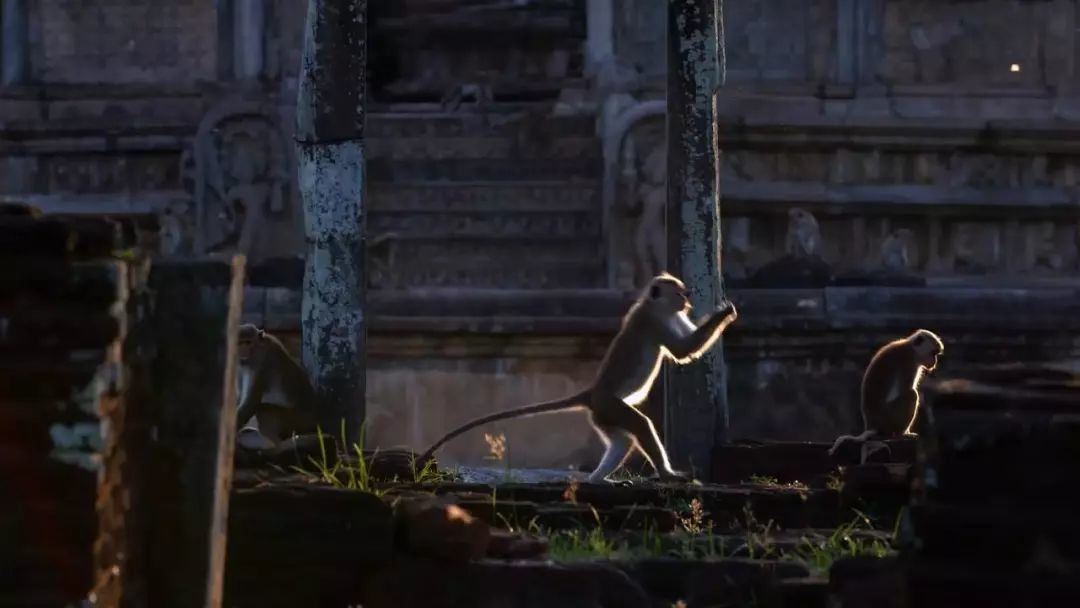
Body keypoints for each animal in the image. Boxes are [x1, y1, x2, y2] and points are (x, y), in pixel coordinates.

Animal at [416, 273, 738, 483]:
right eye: (680, 293)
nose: (687, 300)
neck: (652, 304)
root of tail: (591, 393)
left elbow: (687, 350)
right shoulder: (656, 320)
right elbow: (684, 351)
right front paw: (725, 312)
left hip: (602, 415)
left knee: (622, 440)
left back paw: (597, 479)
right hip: (610, 406)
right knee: (640, 425)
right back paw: (665, 474)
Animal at [829, 330, 941, 464]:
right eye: (933, 353)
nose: (934, 362)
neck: (911, 348)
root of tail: (872, 425)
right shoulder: (908, 364)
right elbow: (906, 389)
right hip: (889, 419)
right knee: (912, 394)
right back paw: (902, 433)